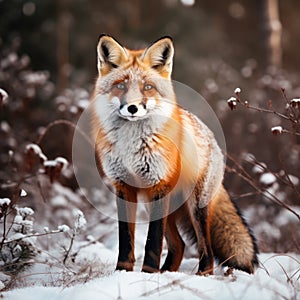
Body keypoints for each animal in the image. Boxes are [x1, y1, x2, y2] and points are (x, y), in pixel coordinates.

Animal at [91, 34, 258, 276]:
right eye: (121, 86)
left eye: (147, 87)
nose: (132, 108)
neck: (132, 145)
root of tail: (212, 137)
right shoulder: (123, 186)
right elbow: (126, 240)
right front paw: (122, 273)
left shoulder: (158, 184)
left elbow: (152, 241)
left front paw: (148, 274)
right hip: (154, 203)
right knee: (179, 244)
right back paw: (167, 272)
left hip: (195, 206)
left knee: (205, 248)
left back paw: (200, 275)